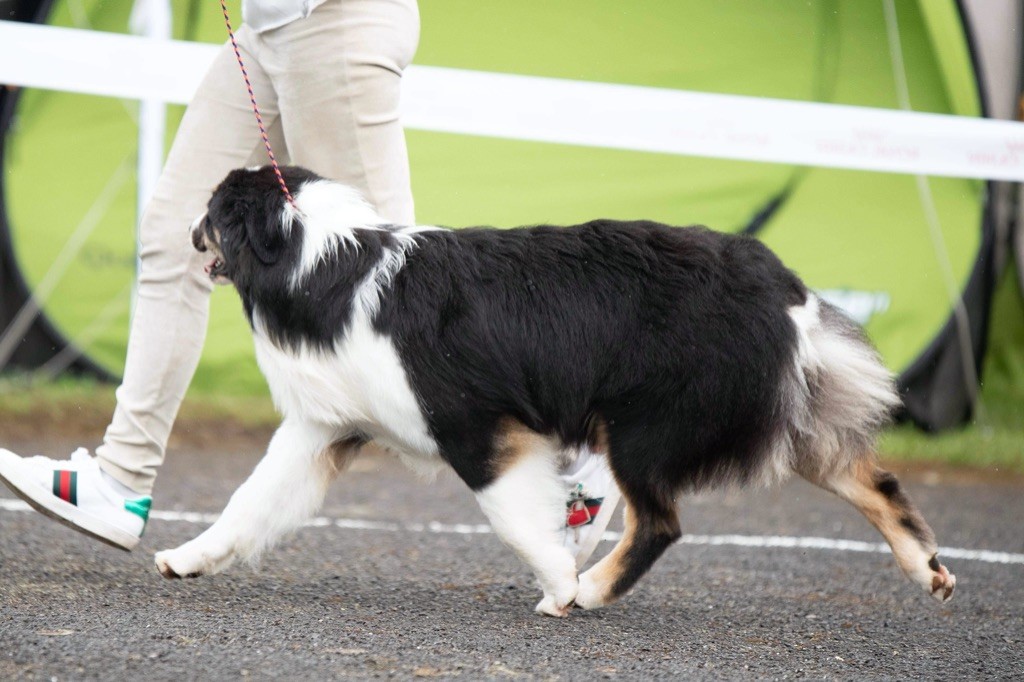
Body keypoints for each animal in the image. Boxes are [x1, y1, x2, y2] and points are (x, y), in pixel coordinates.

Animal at [155, 165, 954, 614]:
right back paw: (930, 572)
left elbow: (515, 520)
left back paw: (595, 588)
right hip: (785, 419)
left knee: (660, 523)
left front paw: (562, 588)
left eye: (215, 211)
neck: (319, 258)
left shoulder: (478, 429)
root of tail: (785, 289)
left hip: (641, 429)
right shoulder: (323, 428)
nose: (186, 227)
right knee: (873, 482)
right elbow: (249, 503)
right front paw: (187, 558)